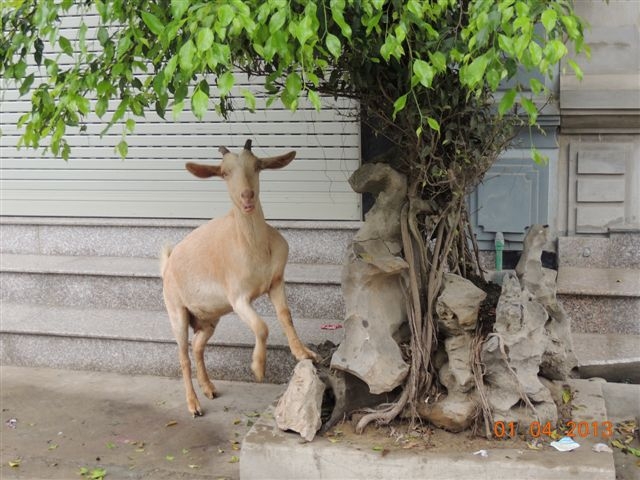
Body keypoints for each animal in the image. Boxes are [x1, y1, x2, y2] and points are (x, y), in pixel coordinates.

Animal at [161, 139, 318, 416]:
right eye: (224, 172)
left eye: (257, 166)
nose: (247, 197)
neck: (254, 248)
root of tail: (167, 264)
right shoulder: (238, 298)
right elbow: (262, 326)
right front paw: (258, 368)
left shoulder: (276, 282)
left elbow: (285, 316)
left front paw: (304, 353)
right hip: (176, 311)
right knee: (183, 355)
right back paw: (194, 404)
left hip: (208, 318)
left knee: (198, 346)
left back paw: (209, 388)